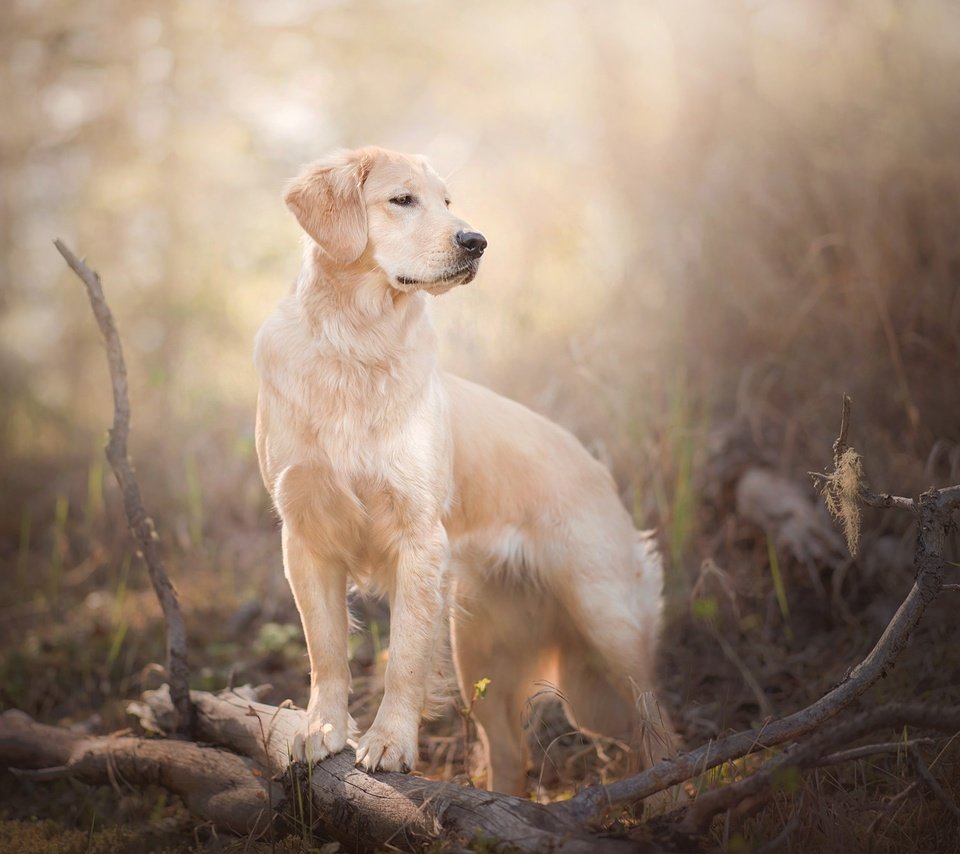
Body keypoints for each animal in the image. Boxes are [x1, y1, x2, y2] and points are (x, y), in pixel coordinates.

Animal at [255, 147, 676, 796]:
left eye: (448, 201)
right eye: (403, 200)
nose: (476, 241)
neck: (357, 343)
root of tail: (596, 467)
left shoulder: (418, 538)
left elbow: (404, 656)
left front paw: (388, 743)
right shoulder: (304, 536)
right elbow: (324, 649)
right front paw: (321, 730)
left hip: (607, 625)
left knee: (660, 726)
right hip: (483, 653)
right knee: (509, 754)